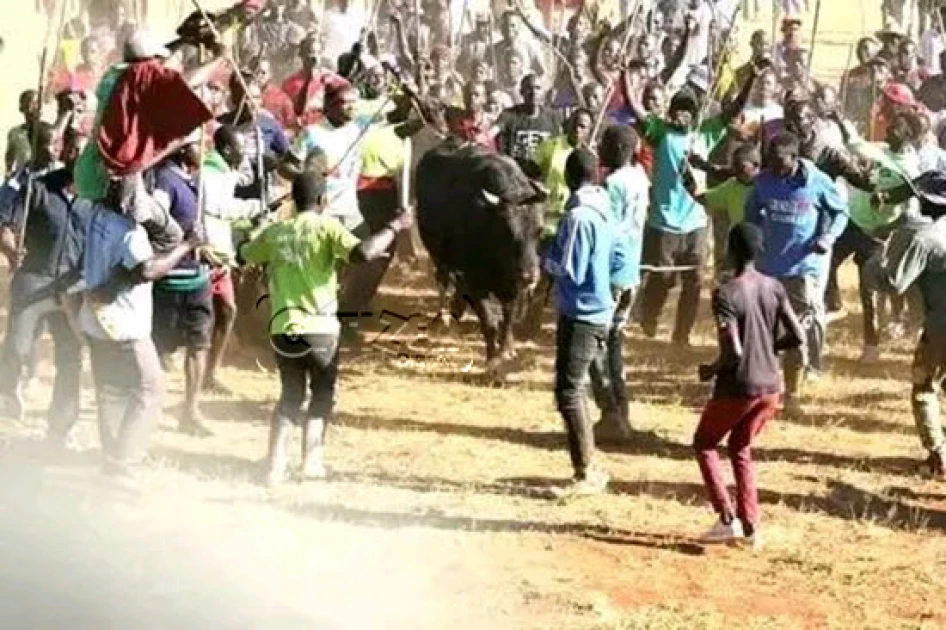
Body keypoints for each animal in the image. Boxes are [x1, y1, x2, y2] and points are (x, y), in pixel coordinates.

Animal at [414, 138, 544, 366]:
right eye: (508, 231)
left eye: (539, 230)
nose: (529, 276)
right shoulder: (476, 282)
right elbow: (489, 320)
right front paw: (492, 357)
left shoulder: (512, 286)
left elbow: (508, 318)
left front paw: (507, 349)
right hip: (437, 254)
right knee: (442, 280)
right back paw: (443, 317)